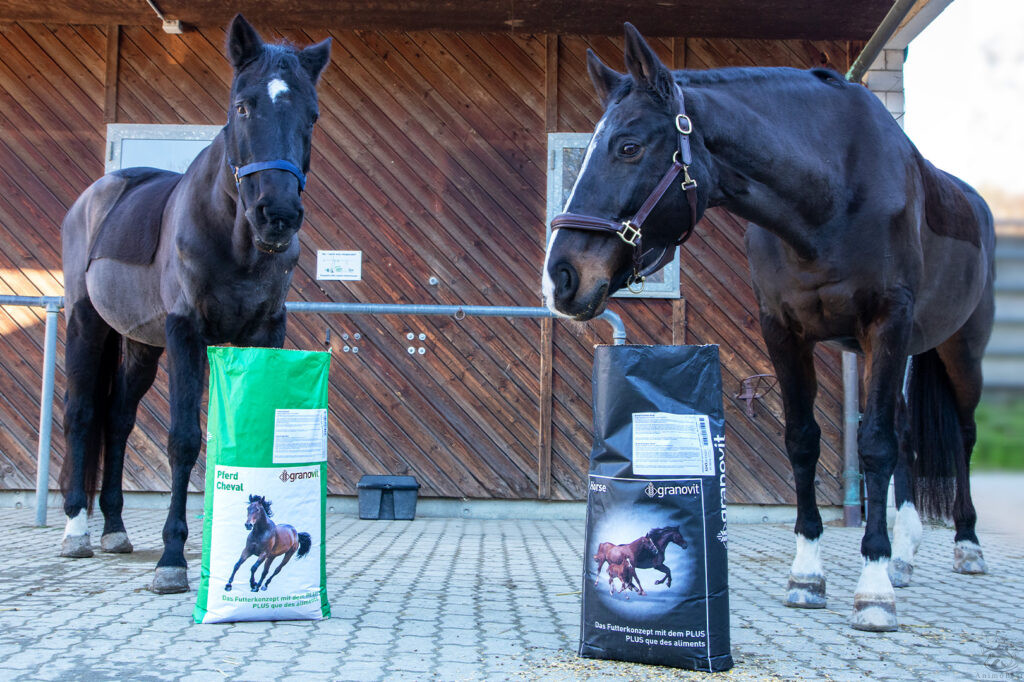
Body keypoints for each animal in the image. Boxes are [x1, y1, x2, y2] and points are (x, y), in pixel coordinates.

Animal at [57, 14, 331, 594]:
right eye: (243, 106)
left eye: (312, 114)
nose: (277, 214)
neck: (234, 237)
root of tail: (94, 195)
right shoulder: (187, 332)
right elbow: (183, 440)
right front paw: (173, 559)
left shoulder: (264, 334)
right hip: (86, 324)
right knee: (82, 414)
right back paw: (76, 530)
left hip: (140, 345)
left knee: (118, 420)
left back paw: (115, 528)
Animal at [545, 24, 994, 632]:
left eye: (629, 146)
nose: (561, 277)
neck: (832, 193)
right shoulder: (784, 333)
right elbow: (802, 441)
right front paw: (808, 575)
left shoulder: (887, 323)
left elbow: (873, 446)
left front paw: (873, 589)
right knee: (905, 436)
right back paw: (903, 556)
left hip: (958, 350)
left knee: (960, 436)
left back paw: (964, 546)